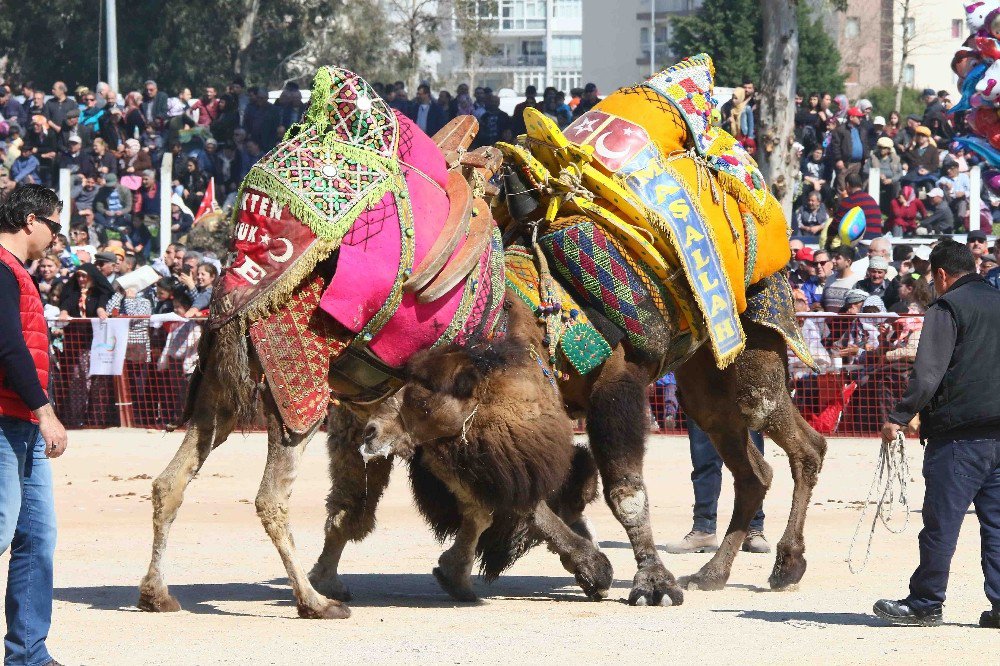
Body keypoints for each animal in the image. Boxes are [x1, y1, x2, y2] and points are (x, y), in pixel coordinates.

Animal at [139, 53, 828, 616]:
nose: (224, 306)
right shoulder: (428, 424)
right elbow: (506, 494)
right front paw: (574, 568)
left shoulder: (609, 384)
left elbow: (618, 488)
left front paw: (649, 582)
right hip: (702, 383)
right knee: (754, 467)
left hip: (746, 354)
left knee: (797, 445)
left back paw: (781, 564)